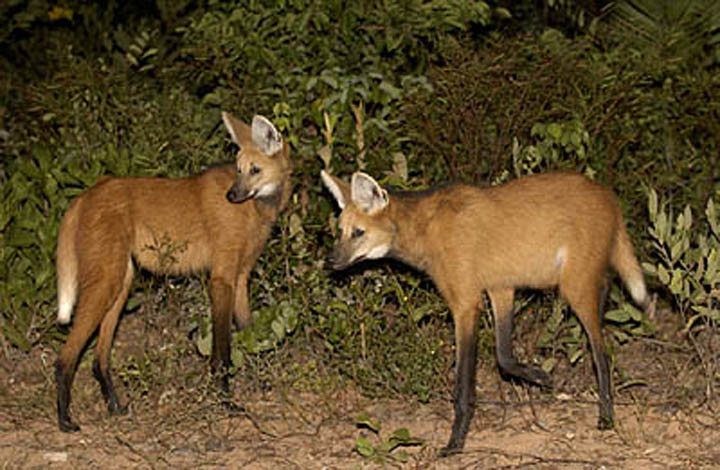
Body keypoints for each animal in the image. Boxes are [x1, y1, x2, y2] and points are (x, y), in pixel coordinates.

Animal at [54, 112, 292, 432]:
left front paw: (262, 380)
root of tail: (85, 195)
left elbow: (249, 333)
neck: (255, 209)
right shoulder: (222, 279)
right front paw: (226, 402)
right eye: (239, 170)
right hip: (106, 281)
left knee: (98, 359)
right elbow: (222, 352)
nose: (232, 195)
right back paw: (65, 419)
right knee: (66, 357)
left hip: (120, 284)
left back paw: (115, 407)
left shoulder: (240, 278)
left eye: (254, 170)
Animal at [320, 171, 648, 454]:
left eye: (359, 233)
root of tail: (607, 194)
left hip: (574, 287)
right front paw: (540, 377)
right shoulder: (500, 288)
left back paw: (606, 417)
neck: (425, 230)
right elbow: (504, 357)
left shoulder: (465, 304)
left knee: (601, 352)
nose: (330, 261)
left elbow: (464, 384)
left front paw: (455, 443)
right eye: (340, 233)